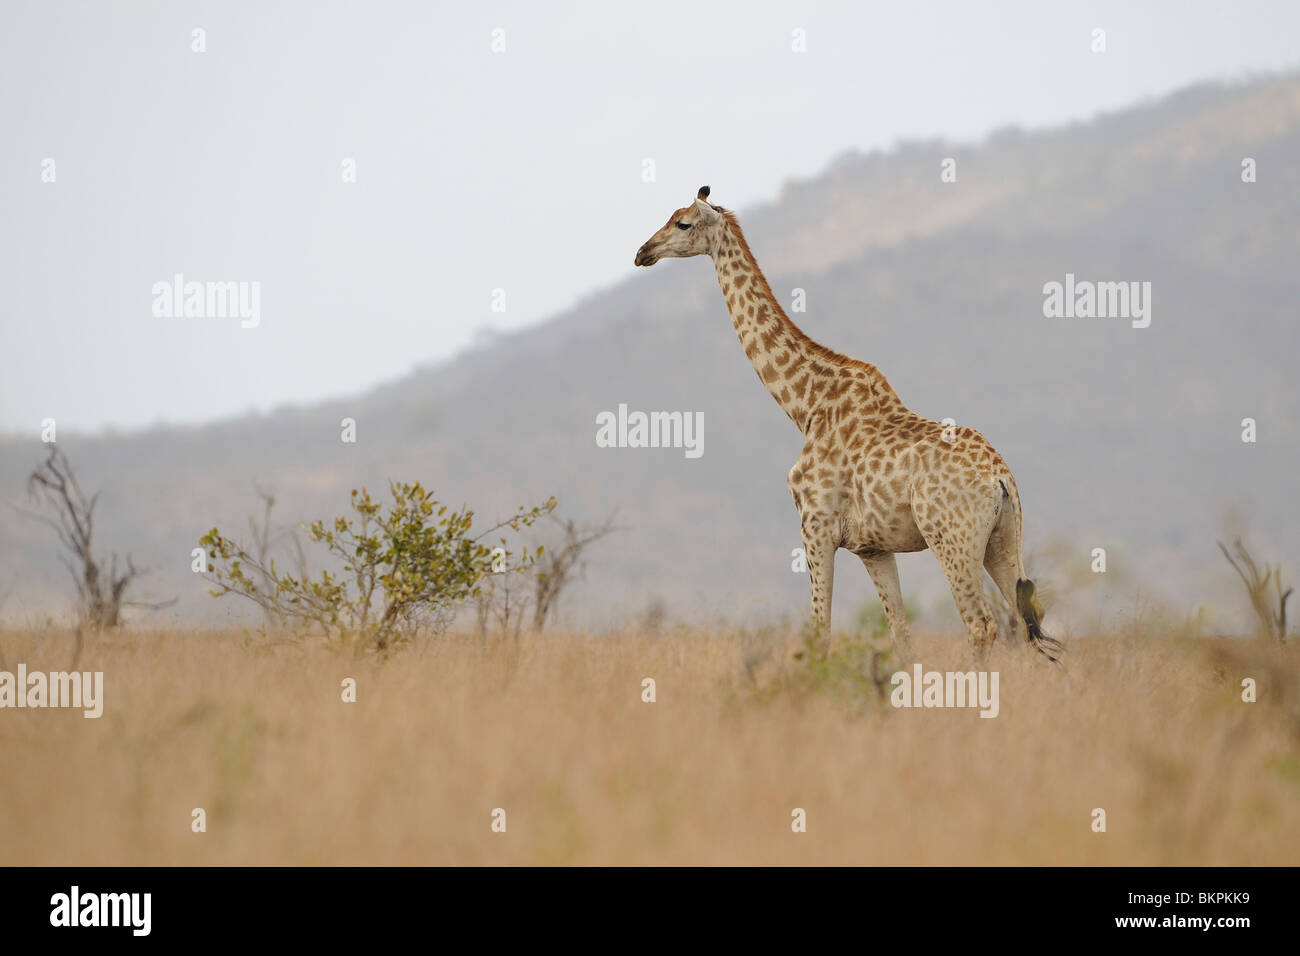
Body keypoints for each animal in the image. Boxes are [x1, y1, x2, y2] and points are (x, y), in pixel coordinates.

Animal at [634, 186, 1061, 662]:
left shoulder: (816, 526)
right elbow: (900, 634)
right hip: (1003, 538)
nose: (642, 252)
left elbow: (820, 631)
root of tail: (1000, 477)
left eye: (683, 223)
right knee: (1030, 620)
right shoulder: (872, 548)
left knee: (981, 624)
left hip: (952, 539)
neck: (806, 405)